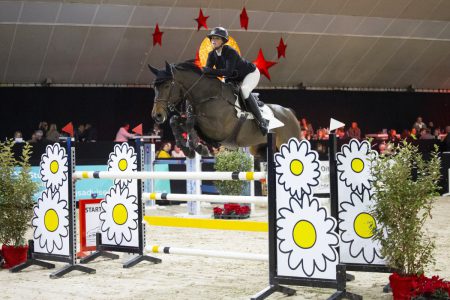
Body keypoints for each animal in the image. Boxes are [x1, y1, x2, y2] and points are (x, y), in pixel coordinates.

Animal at [149, 61, 300, 159]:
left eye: (167, 85)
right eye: (155, 87)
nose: (157, 115)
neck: (207, 96)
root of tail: (289, 112)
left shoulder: (218, 129)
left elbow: (191, 122)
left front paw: (198, 148)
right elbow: (176, 120)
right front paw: (188, 149)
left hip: (287, 141)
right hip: (259, 149)